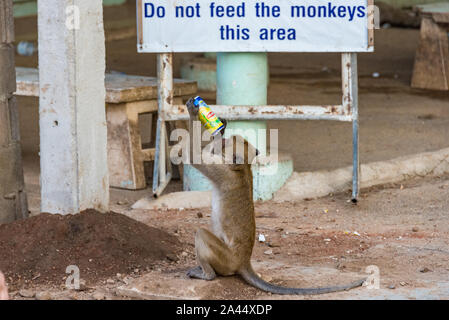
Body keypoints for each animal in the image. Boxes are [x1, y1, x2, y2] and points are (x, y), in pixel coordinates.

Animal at [184, 98, 366, 296]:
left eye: (227, 145)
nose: (223, 139)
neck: (243, 167)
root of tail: (243, 261)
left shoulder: (222, 171)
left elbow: (194, 156)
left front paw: (196, 112)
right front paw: (219, 126)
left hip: (226, 259)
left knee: (201, 233)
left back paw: (208, 274)